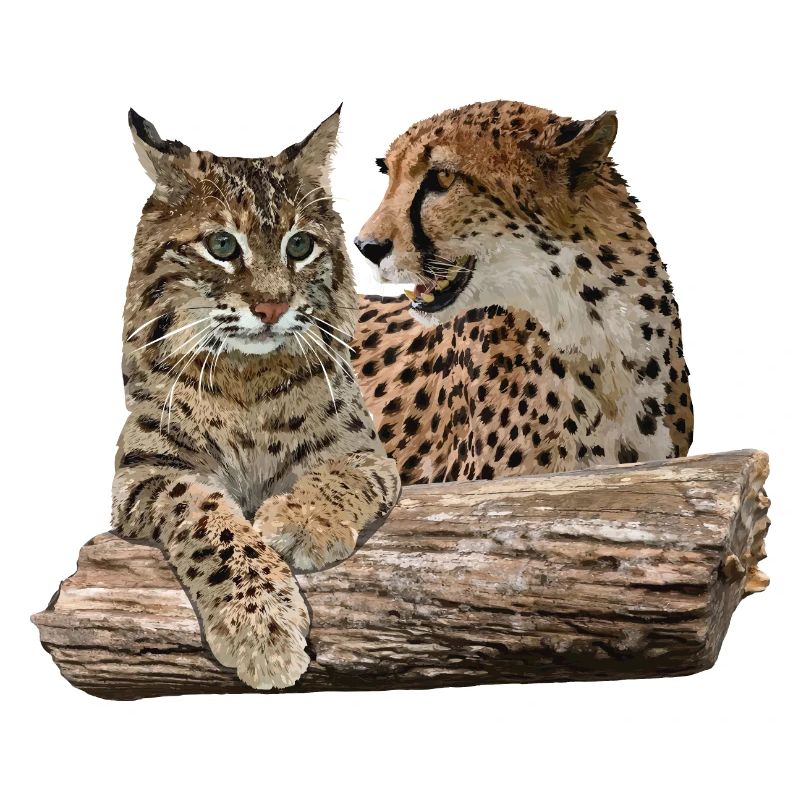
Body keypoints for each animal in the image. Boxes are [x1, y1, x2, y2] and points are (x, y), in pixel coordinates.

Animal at [113, 108, 400, 690]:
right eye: (223, 247)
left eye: (300, 246)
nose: (271, 307)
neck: (246, 375)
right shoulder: (145, 470)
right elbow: (209, 519)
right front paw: (261, 628)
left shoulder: (367, 454)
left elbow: (338, 475)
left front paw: (303, 520)